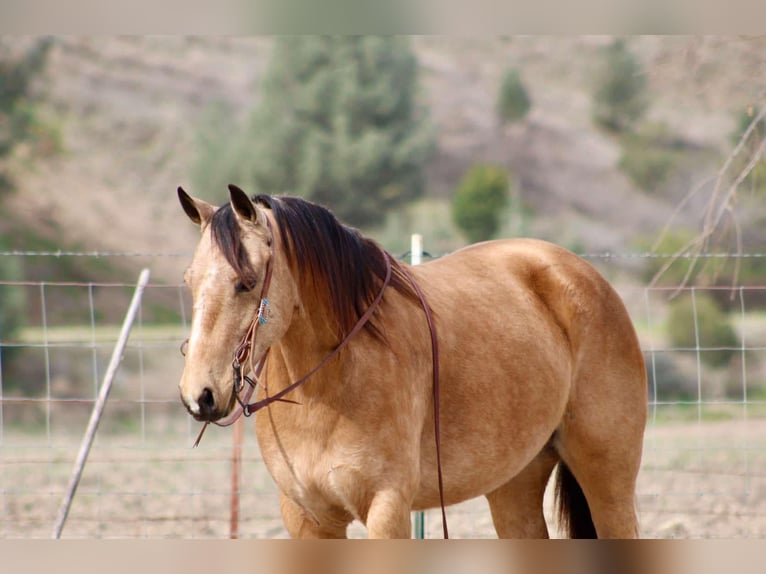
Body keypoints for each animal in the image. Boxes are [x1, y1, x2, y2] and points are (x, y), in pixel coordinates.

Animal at [176, 186, 648, 540]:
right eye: (190, 280)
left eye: (246, 282)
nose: (200, 395)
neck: (330, 383)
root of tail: (581, 274)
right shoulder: (307, 517)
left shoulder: (387, 508)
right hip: (514, 485)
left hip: (608, 481)